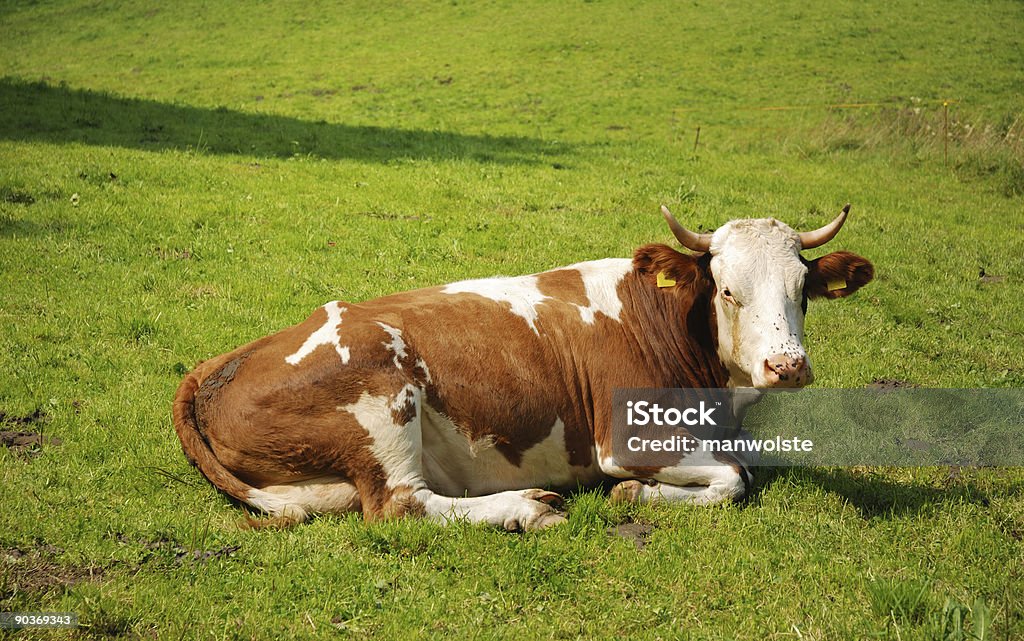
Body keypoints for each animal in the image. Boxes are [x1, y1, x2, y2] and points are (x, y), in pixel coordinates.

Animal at [169, 204, 872, 528]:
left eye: (802, 290)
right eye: (728, 291)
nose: (788, 366)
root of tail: (216, 364)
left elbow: (746, 463)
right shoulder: (622, 438)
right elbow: (733, 479)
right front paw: (634, 493)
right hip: (383, 395)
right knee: (401, 504)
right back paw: (526, 507)